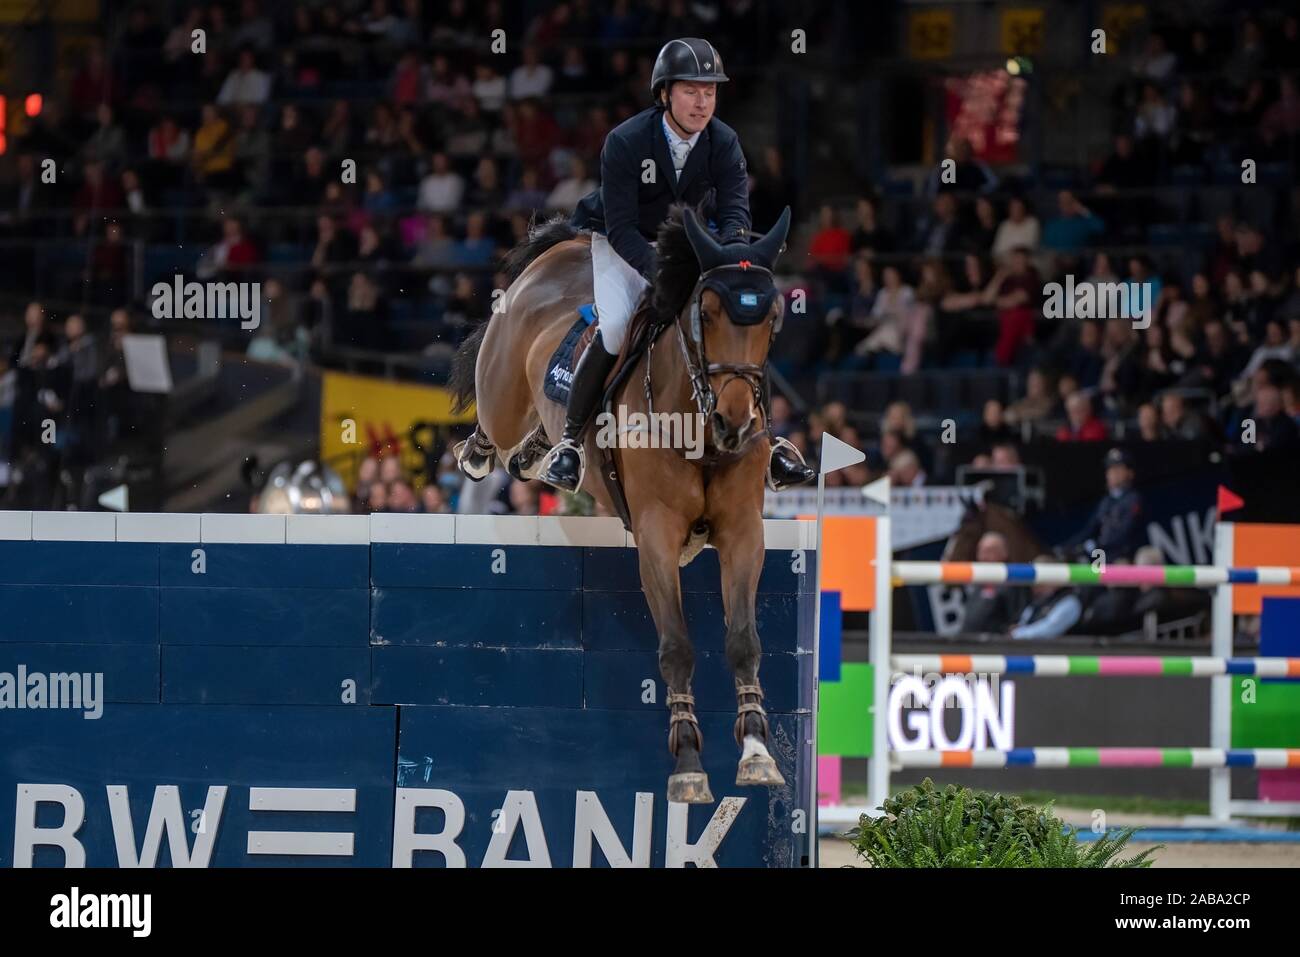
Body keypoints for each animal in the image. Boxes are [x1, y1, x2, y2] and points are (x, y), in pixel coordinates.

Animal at [447, 205, 790, 806]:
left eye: (771, 320)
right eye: (706, 312)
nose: (734, 424)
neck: (698, 428)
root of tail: (566, 244)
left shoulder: (744, 532)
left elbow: (744, 641)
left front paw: (755, 751)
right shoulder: (656, 537)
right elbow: (677, 647)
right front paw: (687, 763)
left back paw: (543, 453)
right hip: (502, 393)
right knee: (494, 425)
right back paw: (485, 452)